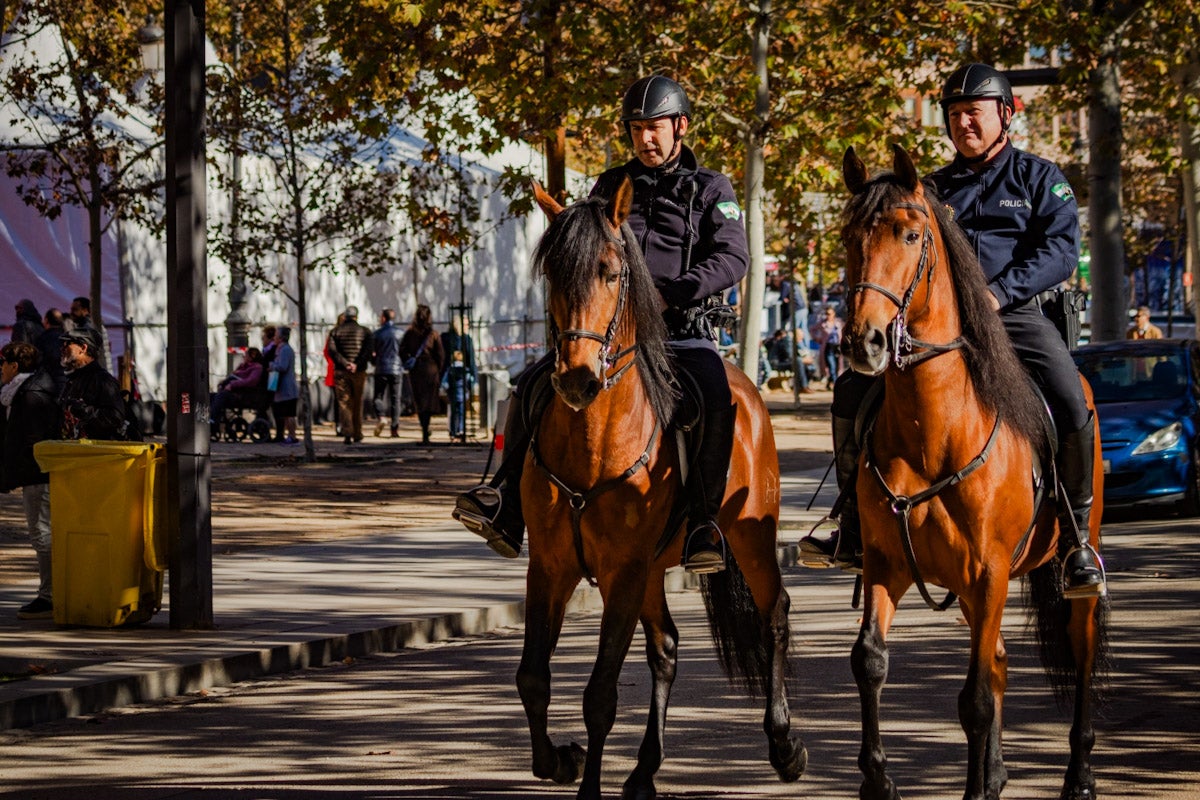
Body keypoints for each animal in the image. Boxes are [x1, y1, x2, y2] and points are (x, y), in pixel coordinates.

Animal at [516, 178, 806, 796]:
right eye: (553, 273)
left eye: (610, 272)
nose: (577, 378)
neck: (592, 439)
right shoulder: (551, 567)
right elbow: (533, 677)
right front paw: (559, 761)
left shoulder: (622, 573)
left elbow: (599, 695)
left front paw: (587, 785)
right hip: (651, 572)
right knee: (667, 647)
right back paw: (645, 769)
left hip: (747, 539)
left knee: (774, 612)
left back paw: (784, 744)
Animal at [840, 143, 1108, 800]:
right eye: (849, 237)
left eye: (911, 234)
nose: (865, 342)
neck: (931, 430)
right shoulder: (887, 565)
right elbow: (870, 662)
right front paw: (878, 781)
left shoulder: (988, 574)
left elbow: (975, 699)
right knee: (1002, 660)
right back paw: (995, 772)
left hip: (1062, 574)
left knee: (1080, 657)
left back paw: (1079, 776)